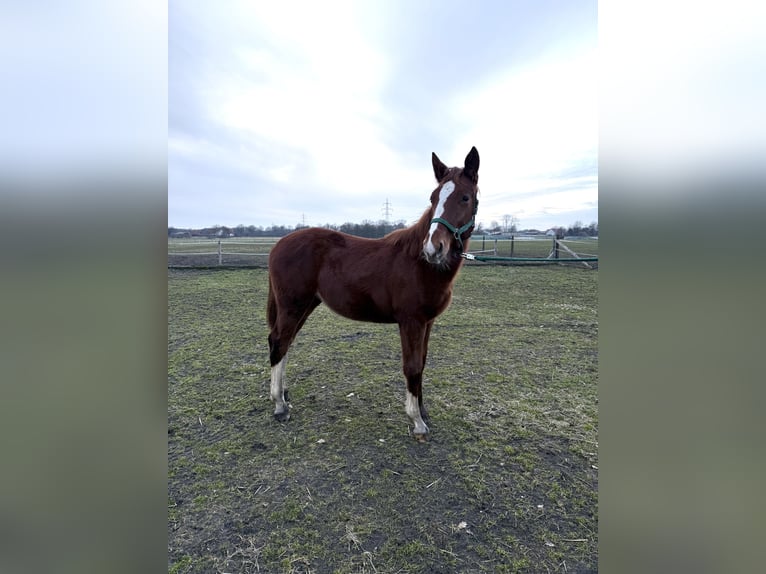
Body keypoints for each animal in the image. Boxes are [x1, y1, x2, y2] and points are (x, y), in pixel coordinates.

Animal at [267, 147, 480, 440]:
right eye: (433, 198)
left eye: (465, 197)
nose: (433, 248)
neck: (418, 263)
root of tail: (278, 246)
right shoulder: (411, 321)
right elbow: (412, 366)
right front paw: (416, 422)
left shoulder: (428, 322)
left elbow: (422, 363)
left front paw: (423, 412)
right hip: (293, 305)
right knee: (279, 342)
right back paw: (279, 406)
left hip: (305, 305)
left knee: (284, 343)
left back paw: (284, 396)